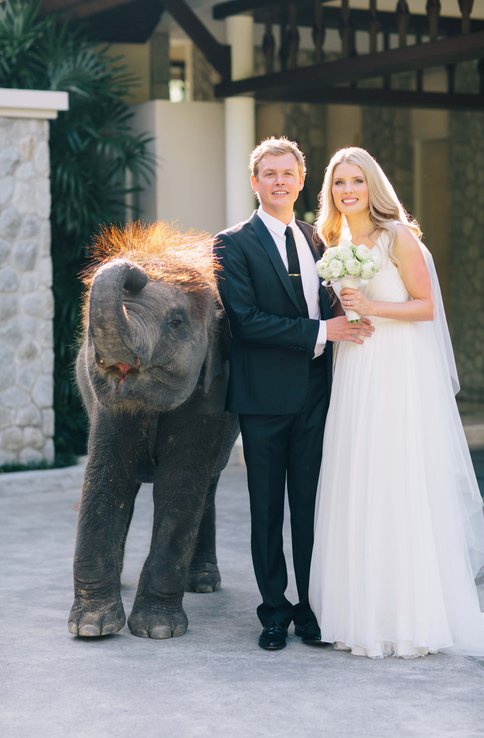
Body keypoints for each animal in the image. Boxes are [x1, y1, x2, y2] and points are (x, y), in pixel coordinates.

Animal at [68, 221, 238, 636]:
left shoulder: (212, 393)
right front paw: (91, 629)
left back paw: (204, 584)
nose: (135, 270)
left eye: (175, 323)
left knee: (208, 485)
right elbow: (106, 479)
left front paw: (157, 630)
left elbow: (180, 486)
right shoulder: (106, 406)